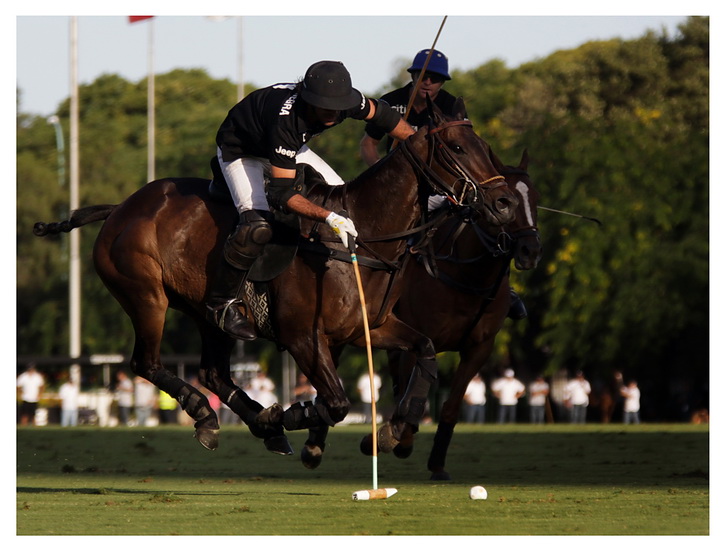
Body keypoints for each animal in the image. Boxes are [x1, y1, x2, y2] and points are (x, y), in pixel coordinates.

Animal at [34, 100, 519, 469]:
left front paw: (390, 431)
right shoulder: (303, 335)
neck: (366, 235)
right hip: (146, 296)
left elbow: (425, 351)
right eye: (457, 146)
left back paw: (249, 423)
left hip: (205, 313)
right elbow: (337, 402)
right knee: (146, 362)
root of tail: (120, 208)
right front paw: (295, 415)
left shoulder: (370, 327)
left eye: (486, 146)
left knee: (213, 369)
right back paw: (211, 415)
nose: (505, 202)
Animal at [384, 147, 542, 480]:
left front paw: (437, 464)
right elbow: (411, 393)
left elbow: (451, 406)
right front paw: (404, 441)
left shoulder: (479, 348)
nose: (530, 251)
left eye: (535, 197)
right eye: (507, 202)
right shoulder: (419, 339)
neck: (469, 275)